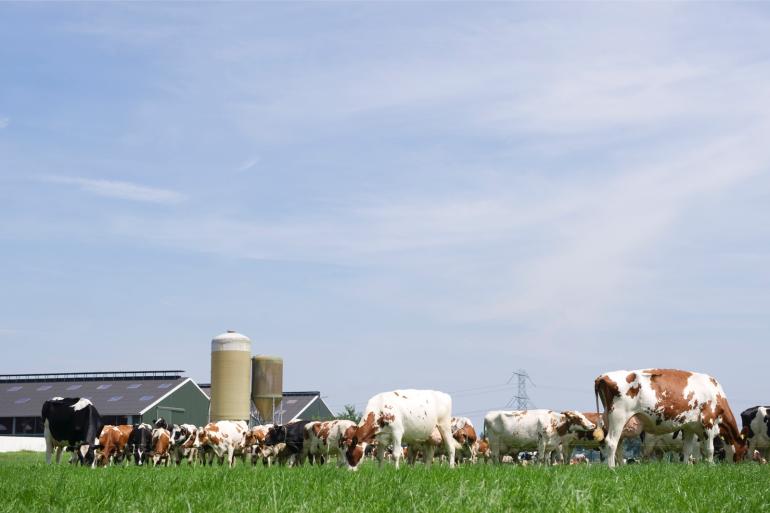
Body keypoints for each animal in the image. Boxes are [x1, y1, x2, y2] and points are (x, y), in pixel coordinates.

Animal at [592, 366, 744, 466]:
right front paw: (711, 467)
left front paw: (686, 468)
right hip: (618, 416)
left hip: (610, 419)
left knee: (619, 446)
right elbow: (709, 450)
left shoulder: (689, 426)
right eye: (744, 450)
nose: (739, 465)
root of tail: (603, 376)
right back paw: (612, 468)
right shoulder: (708, 422)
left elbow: (687, 450)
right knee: (611, 442)